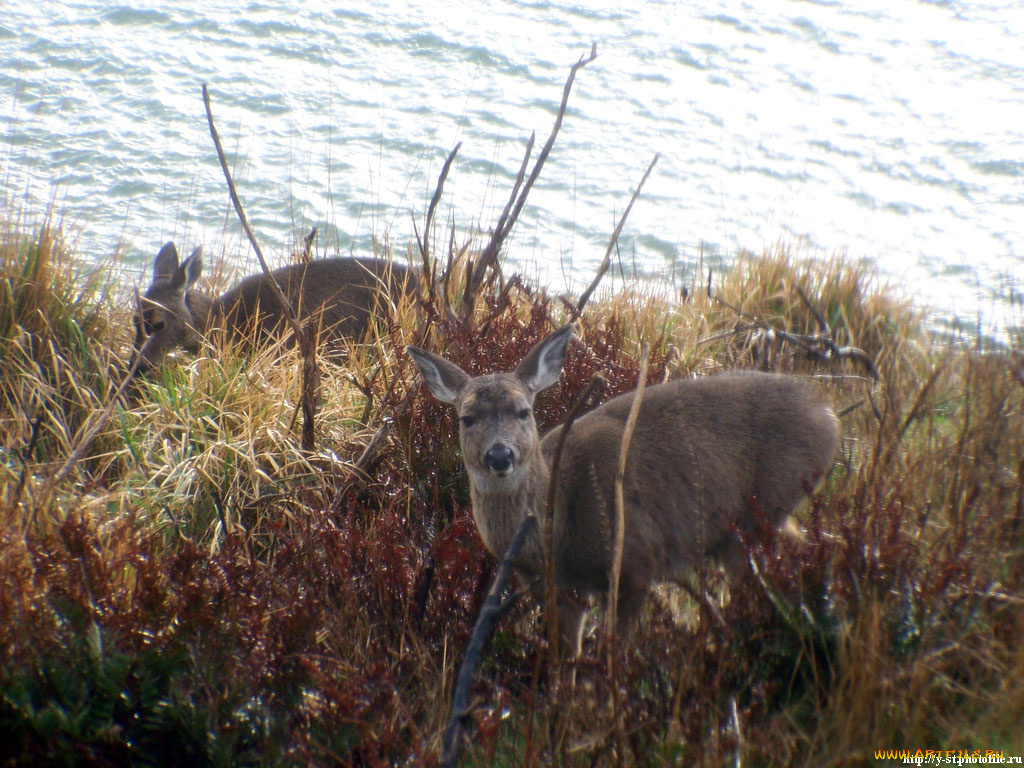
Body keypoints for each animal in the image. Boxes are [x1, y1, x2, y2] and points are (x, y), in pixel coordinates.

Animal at [403, 325, 835, 655]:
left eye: (523, 411)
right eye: (467, 418)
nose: (499, 455)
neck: (560, 530)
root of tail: (830, 416)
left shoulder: (636, 559)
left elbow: (616, 650)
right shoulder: (555, 590)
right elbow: (568, 657)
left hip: (764, 509)